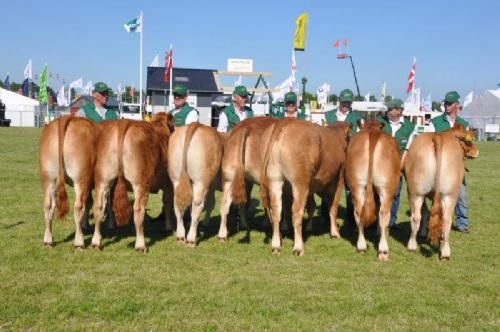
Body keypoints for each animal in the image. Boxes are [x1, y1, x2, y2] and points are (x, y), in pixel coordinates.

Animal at [38, 115, 101, 248]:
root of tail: (67, 118)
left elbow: (90, 202)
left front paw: (85, 225)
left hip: (48, 178)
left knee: (48, 205)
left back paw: (48, 240)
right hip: (81, 179)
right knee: (78, 206)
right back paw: (79, 242)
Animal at [91, 114, 174, 252]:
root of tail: (122, 124)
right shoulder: (168, 183)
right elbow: (167, 203)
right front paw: (168, 227)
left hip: (103, 179)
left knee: (99, 206)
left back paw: (96, 242)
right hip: (141, 183)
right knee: (138, 209)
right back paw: (141, 245)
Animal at [260, 119, 350, 256]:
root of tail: (285, 123)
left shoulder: (311, 186)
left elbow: (312, 206)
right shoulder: (339, 178)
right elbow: (333, 207)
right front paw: (335, 233)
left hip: (275, 180)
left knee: (276, 211)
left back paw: (276, 246)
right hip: (300, 182)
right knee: (297, 212)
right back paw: (298, 248)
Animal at [346, 120, 400, 262]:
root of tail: (373, 133)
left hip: (357, 186)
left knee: (359, 212)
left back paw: (361, 246)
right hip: (387, 189)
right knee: (384, 214)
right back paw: (383, 251)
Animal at [404, 122, 478, 260]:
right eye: (469, 141)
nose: (477, 152)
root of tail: (438, 137)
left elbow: (428, 213)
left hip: (417, 192)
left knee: (419, 217)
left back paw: (414, 246)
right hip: (449, 194)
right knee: (443, 220)